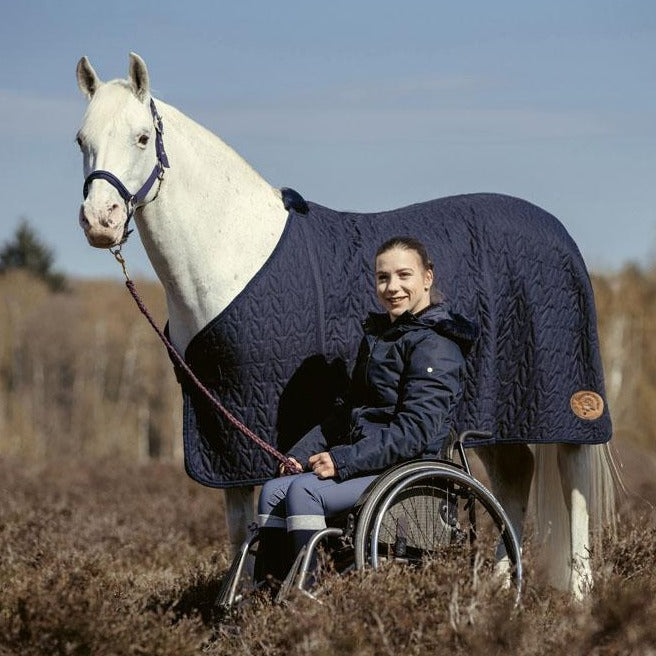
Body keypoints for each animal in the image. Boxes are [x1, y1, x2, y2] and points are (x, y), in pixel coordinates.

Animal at [75, 53, 617, 599]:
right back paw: (500, 588)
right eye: (81, 139)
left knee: (572, 480)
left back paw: (579, 593)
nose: (100, 220)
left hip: (565, 403)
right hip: (498, 413)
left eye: (143, 137)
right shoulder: (224, 432)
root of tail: (558, 234)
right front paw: (241, 596)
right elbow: (238, 525)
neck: (234, 256)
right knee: (514, 477)